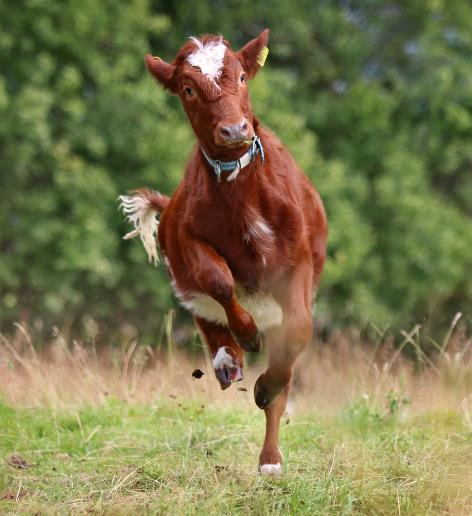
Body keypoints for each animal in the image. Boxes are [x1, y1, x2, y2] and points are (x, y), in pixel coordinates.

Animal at [121, 29, 328, 476]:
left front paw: (266, 386)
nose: (234, 130)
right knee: (210, 320)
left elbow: (298, 333)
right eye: (188, 88)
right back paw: (227, 359)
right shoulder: (189, 239)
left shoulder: (298, 261)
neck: (240, 192)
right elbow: (219, 281)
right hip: (190, 289)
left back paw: (270, 459)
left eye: (243, 77)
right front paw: (246, 336)